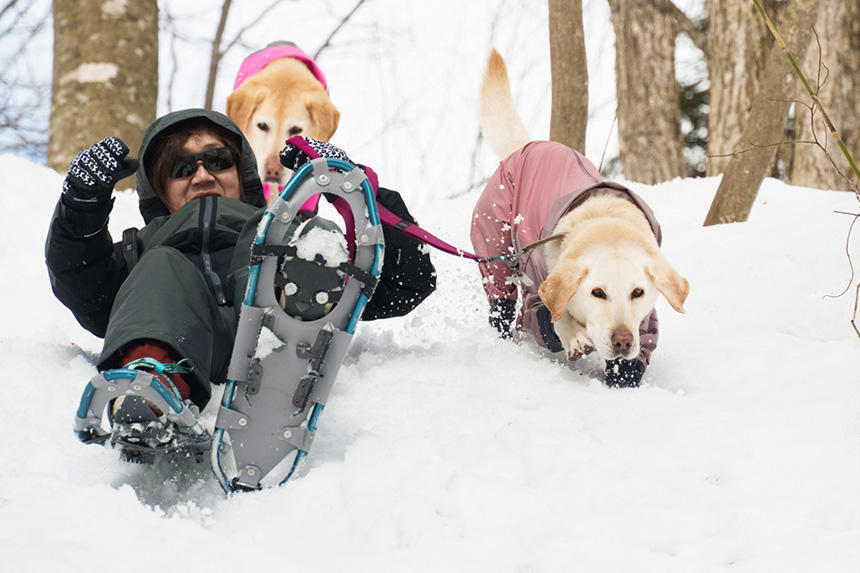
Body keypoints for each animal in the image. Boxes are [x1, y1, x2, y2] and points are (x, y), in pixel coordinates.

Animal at [466, 51, 688, 386]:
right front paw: (574, 337)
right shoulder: (540, 293)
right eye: (598, 292)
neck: (605, 225)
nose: (622, 341)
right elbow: (553, 316)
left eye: (638, 292)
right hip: (496, 255)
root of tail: (528, 145)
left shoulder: (645, 321)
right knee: (502, 308)